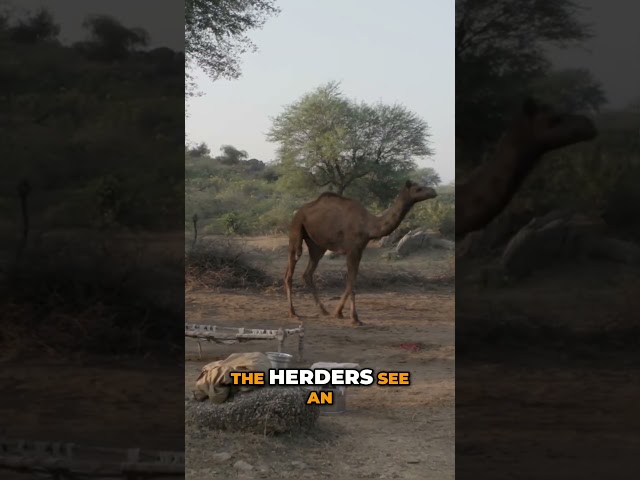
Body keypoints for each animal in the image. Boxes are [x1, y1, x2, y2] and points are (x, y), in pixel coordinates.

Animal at [284, 180, 437, 325]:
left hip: (316, 245)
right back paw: (292, 313)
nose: (433, 191)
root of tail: (298, 211)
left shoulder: (359, 250)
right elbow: (352, 284)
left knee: (307, 272)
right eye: (418, 189)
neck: (368, 226)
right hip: (296, 230)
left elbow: (350, 282)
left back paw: (323, 310)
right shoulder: (352, 250)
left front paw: (338, 312)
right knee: (290, 269)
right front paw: (354, 319)